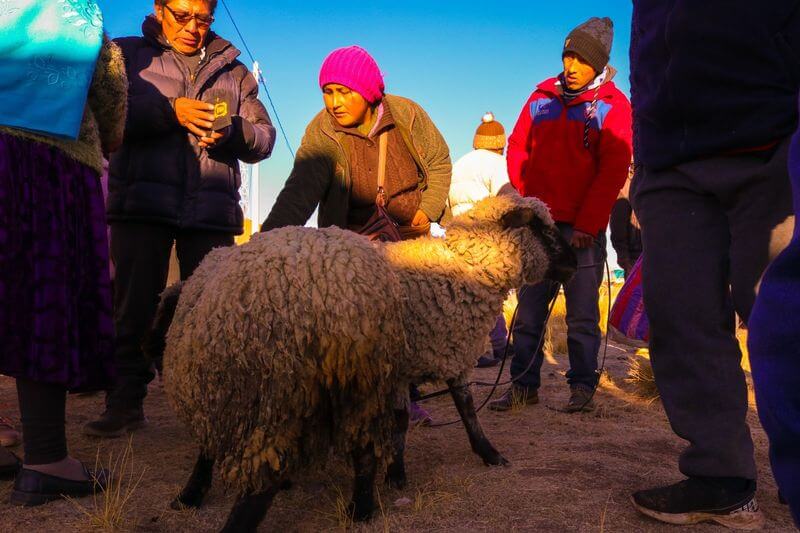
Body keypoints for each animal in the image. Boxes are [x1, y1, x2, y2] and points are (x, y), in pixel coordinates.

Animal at [152, 189, 576, 528]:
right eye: (541, 228)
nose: (575, 262)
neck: (462, 268)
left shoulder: (402, 365)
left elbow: (404, 421)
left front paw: (398, 472)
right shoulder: (439, 352)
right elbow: (467, 409)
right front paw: (488, 453)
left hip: (227, 390)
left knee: (214, 445)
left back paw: (195, 494)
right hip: (291, 389)